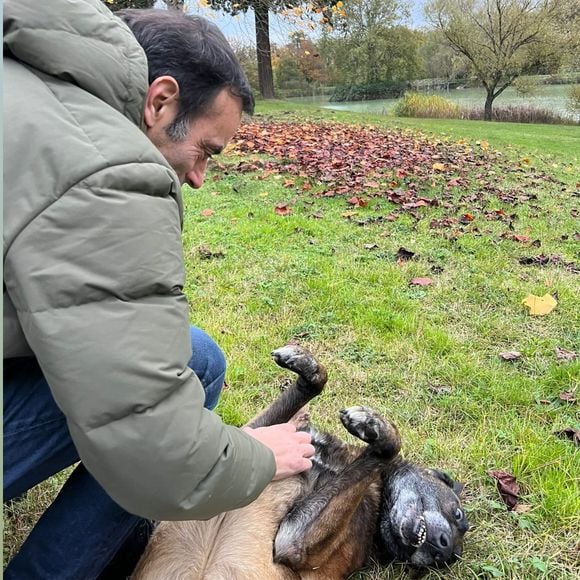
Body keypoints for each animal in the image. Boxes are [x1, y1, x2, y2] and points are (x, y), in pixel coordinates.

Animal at [134, 346, 468, 576]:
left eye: (450, 558)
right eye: (459, 514)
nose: (443, 549)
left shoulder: (291, 542)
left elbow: (390, 446)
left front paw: (376, 428)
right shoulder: (245, 443)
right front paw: (307, 367)